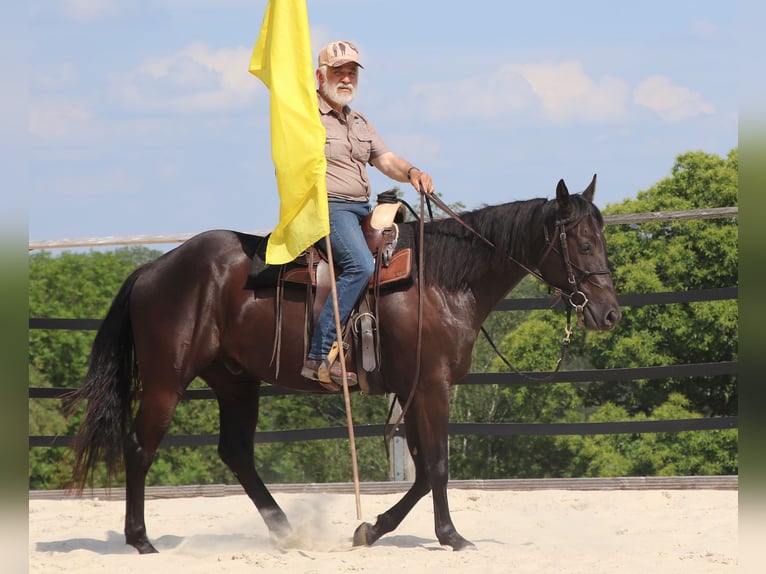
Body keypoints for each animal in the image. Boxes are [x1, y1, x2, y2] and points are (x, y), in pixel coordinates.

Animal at [69, 175, 621, 554]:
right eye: (583, 243)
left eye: (603, 240)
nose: (609, 312)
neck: (443, 280)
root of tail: (152, 268)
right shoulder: (432, 386)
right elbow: (439, 465)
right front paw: (450, 535)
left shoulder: (412, 389)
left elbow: (424, 471)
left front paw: (371, 529)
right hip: (167, 380)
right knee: (140, 447)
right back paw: (141, 540)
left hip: (236, 381)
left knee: (236, 452)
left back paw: (286, 530)